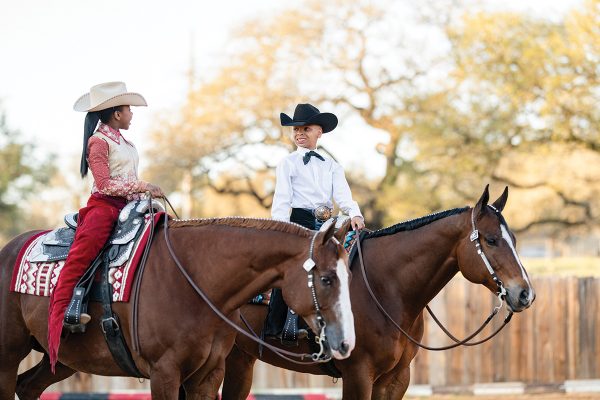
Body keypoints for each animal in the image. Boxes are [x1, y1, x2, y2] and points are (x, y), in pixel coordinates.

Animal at [0, 216, 354, 400]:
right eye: (326, 279)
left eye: (349, 276)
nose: (346, 342)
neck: (194, 281)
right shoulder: (164, 374)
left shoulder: (207, 376)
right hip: (8, 357)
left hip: (61, 358)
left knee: (28, 387)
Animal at [220, 188, 536, 400]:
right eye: (491, 240)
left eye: (514, 239)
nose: (525, 294)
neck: (386, 288)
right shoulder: (358, 374)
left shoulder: (396, 379)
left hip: (241, 360)